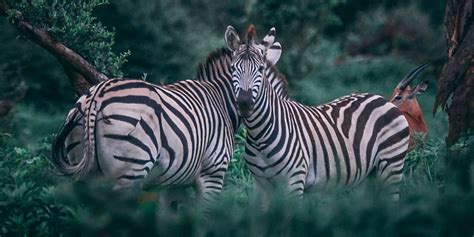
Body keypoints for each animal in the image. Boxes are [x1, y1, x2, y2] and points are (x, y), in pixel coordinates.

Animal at [51, 29, 286, 204]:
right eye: (234, 68)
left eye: (260, 70)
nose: (244, 104)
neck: (221, 99)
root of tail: (97, 95)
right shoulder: (213, 173)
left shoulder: (174, 183)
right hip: (129, 170)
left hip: (82, 168)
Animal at [224, 25, 410, 204]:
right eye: (232, 68)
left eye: (260, 69)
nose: (244, 104)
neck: (259, 135)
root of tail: (382, 99)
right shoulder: (261, 185)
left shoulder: (295, 181)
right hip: (369, 175)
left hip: (391, 165)